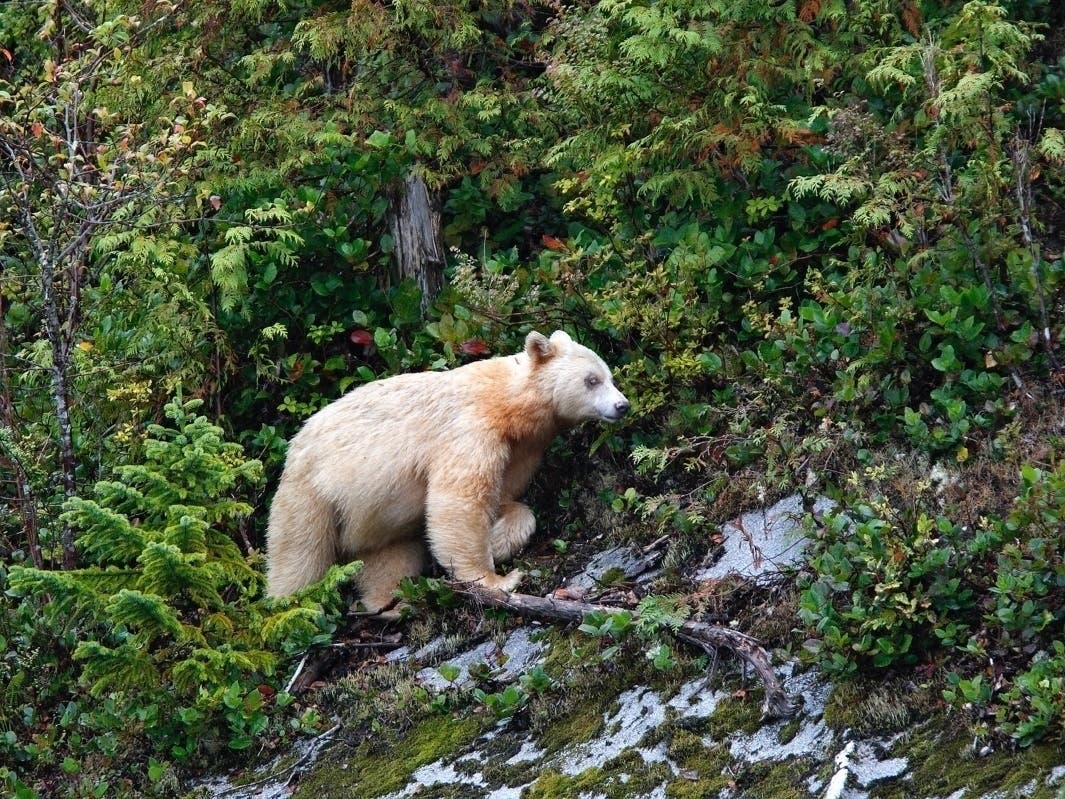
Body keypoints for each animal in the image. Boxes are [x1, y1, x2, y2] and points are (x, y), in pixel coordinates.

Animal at [265, 329, 630, 611]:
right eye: (592, 380)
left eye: (610, 376)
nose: (622, 405)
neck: (505, 403)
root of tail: (293, 446)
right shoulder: (469, 430)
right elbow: (460, 503)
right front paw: (498, 579)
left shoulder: (521, 448)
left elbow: (505, 499)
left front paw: (499, 540)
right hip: (311, 492)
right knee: (298, 552)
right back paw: (292, 605)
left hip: (372, 522)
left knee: (388, 558)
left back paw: (387, 603)